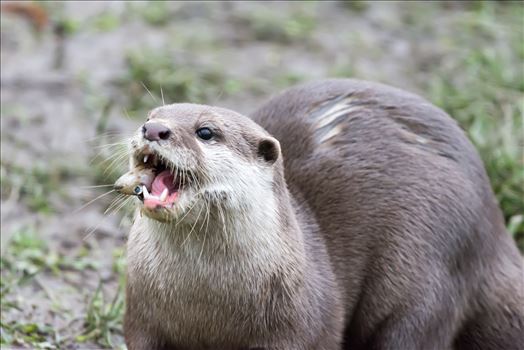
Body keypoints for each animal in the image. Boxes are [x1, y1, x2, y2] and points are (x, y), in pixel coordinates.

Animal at [118, 79, 524, 350]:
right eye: (150, 115)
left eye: (205, 131)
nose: (153, 129)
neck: (205, 307)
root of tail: (494, 231)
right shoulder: (142, 318)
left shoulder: (299, 330)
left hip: (432, 272)